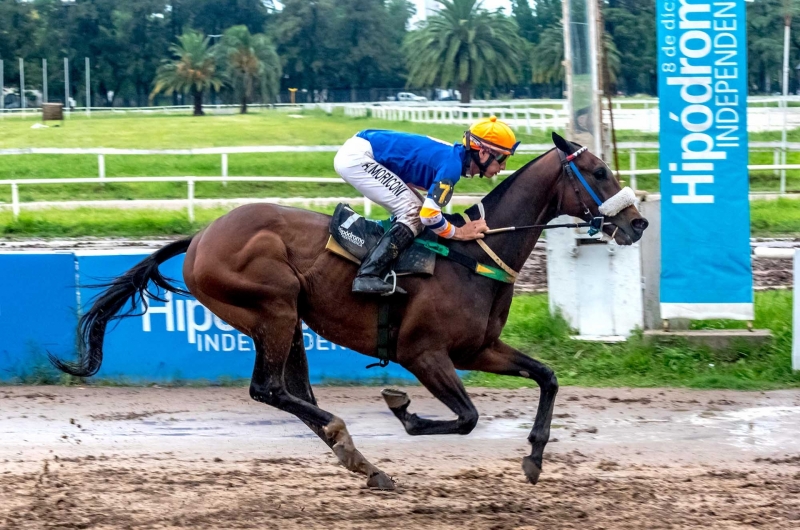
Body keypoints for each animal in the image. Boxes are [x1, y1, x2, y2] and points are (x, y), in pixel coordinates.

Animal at [50, 132, 648, 486]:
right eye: (598, 171)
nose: (638, 222)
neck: (473, 256)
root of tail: (200, 237)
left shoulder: (478, 349)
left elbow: (547, 377)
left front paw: (535, 457)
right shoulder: (423, 353)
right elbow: (467, 417)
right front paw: (404, 411)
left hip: (287, 320)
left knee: (293, 392)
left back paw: (358, 459)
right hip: (272, 308)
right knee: (269, 389)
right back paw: (350, 443)